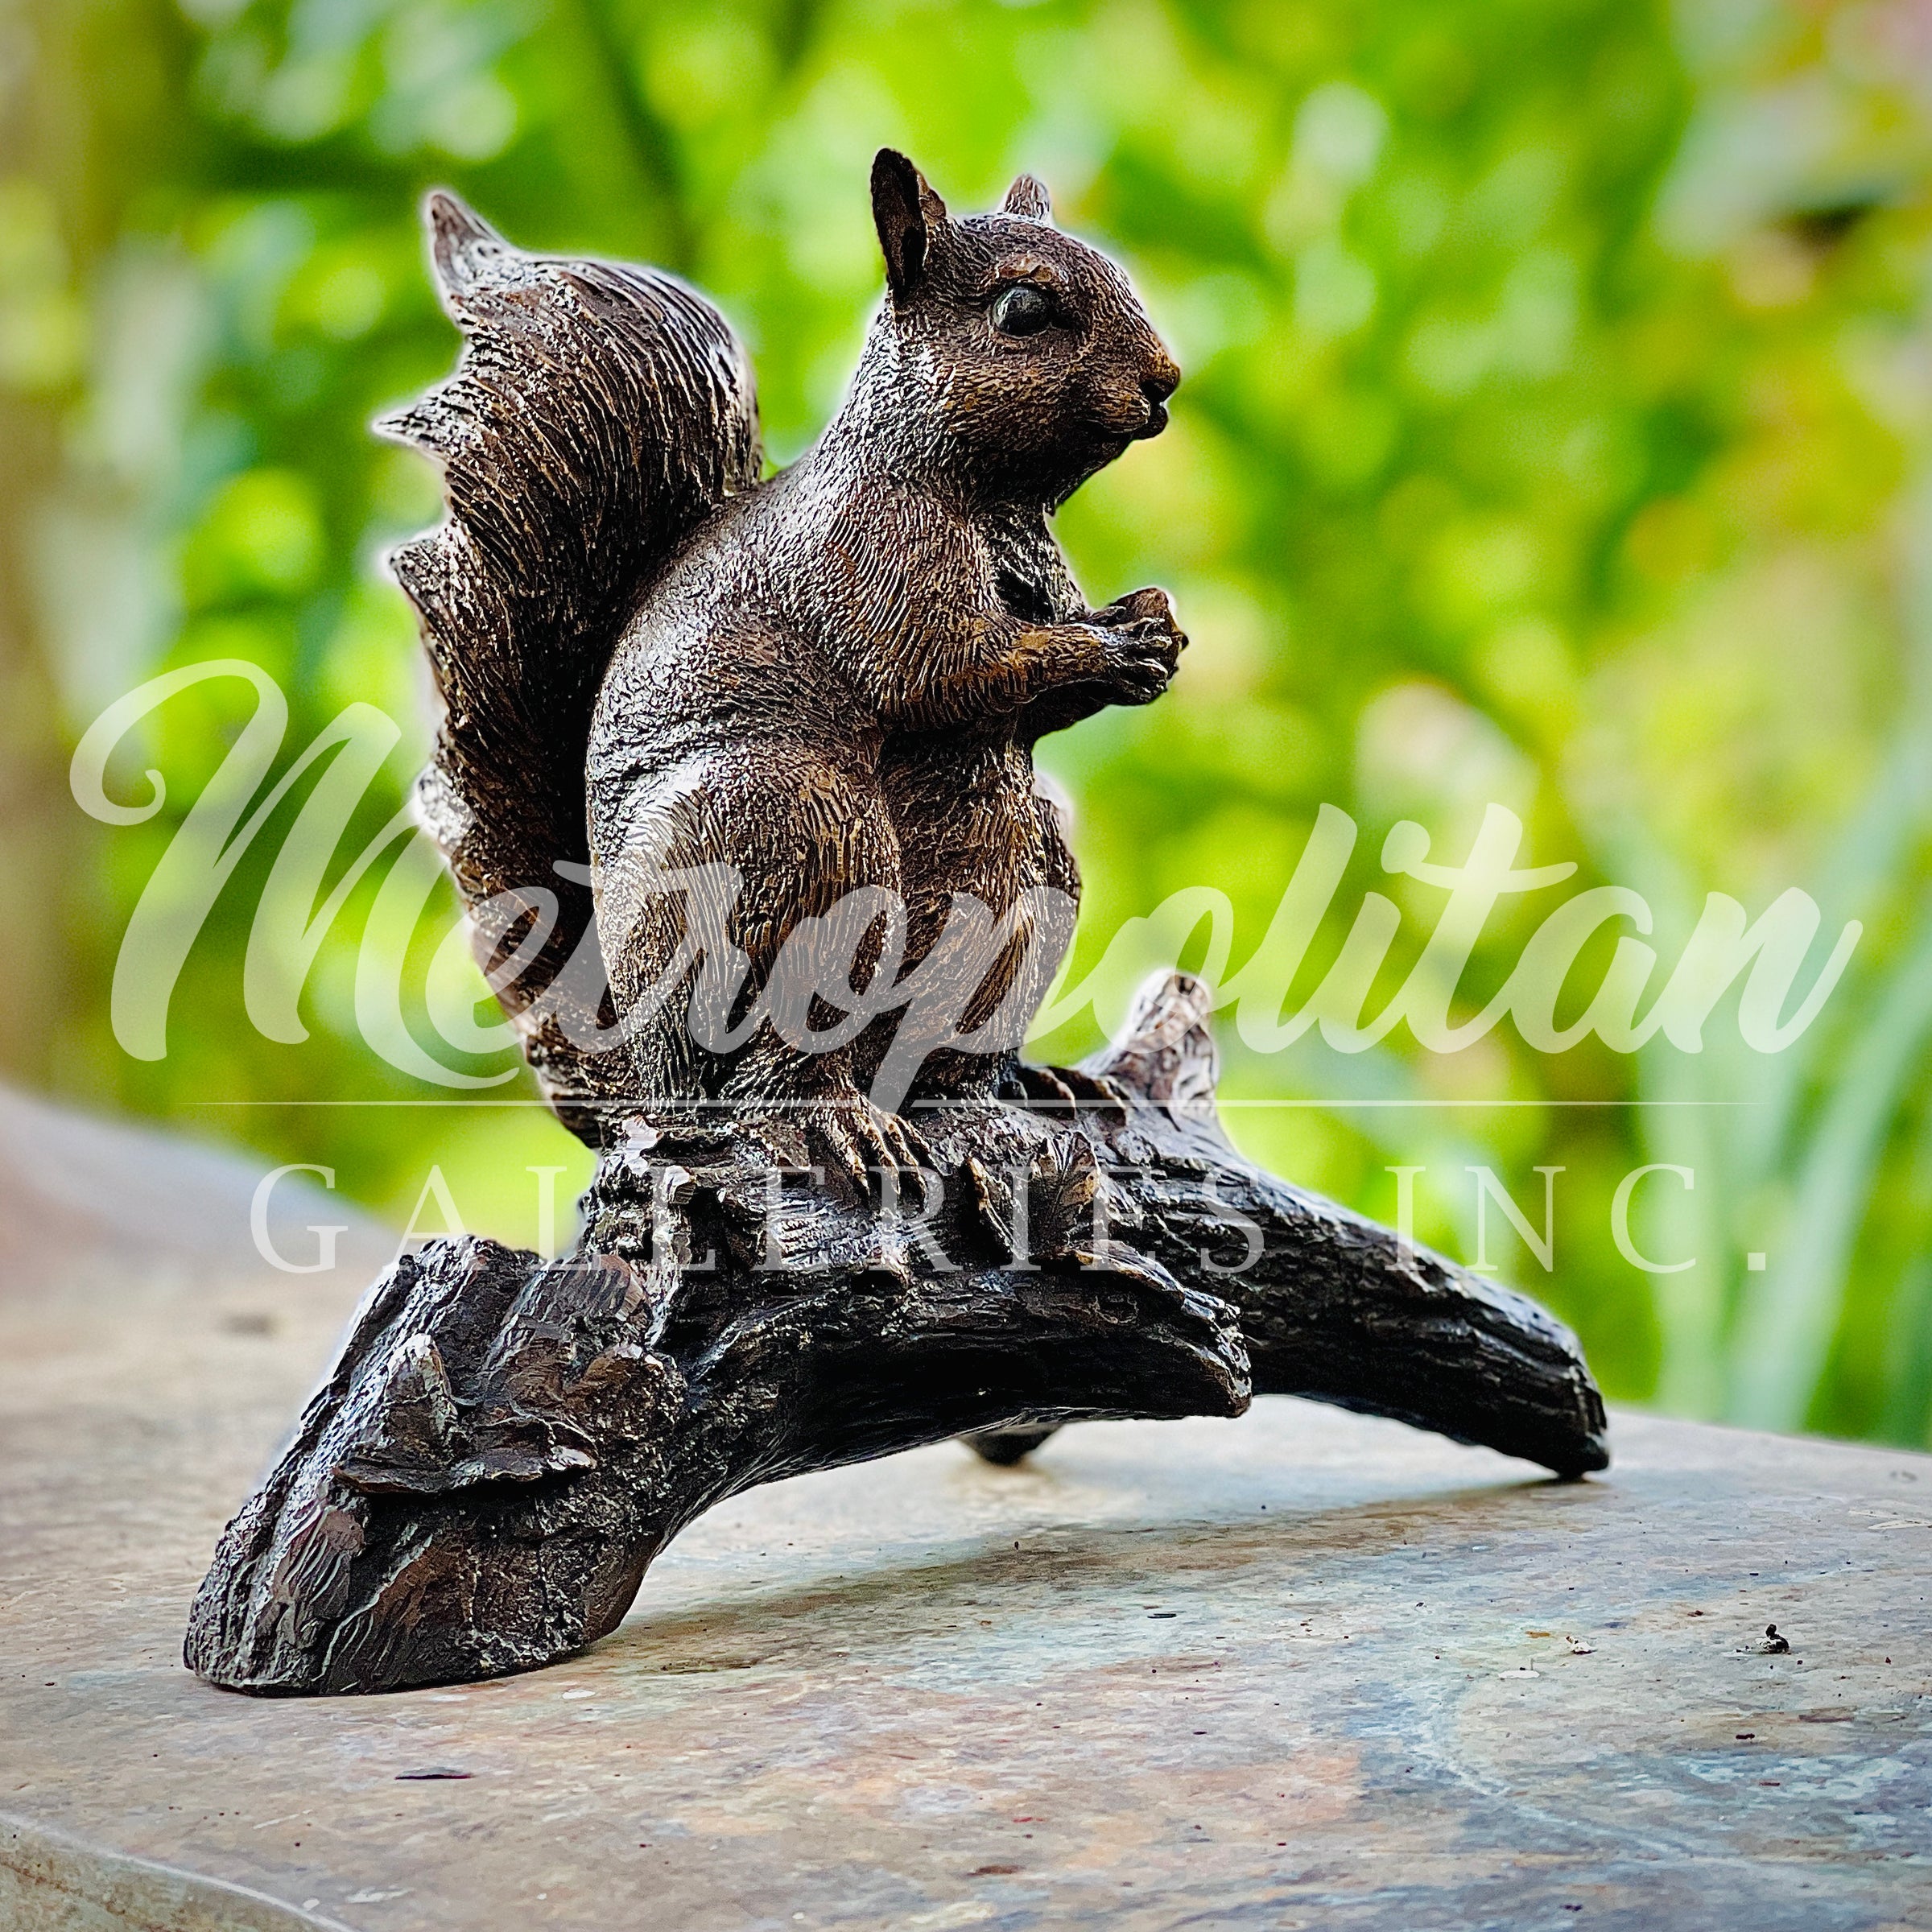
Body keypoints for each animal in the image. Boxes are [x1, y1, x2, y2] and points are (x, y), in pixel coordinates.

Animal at [385, 150, 1184, 1176]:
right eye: (1021, 310)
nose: (1166, 380)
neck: (991, 500)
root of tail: (643, 1073)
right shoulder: (867, 557)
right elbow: (943, 674)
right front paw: (1113, 643)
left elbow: (1031, 707)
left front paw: (1151, 628)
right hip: (796, 830)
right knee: (768, 1070)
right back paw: (832, 1117)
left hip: (1022, 874)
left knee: (935, 1061)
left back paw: (1023, 1087)